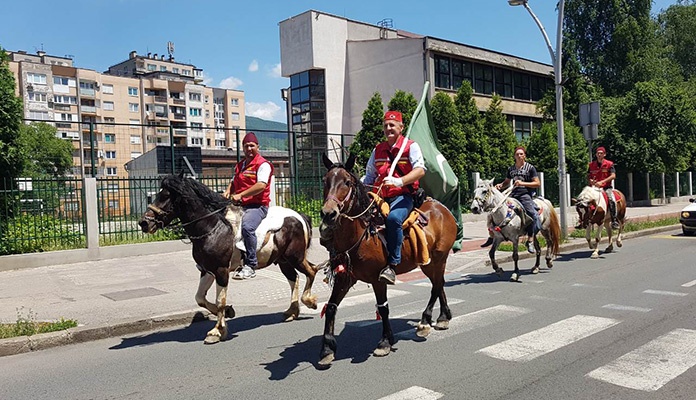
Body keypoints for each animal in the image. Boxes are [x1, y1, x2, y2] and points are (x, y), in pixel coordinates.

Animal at [139, 172, 324, 344]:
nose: (144, 223)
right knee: (294, 278)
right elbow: (200, 298)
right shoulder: (207, 270)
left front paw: (217, 331)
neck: (213, 227)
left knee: (311, 271)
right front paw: (227, 312)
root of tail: (299, 216)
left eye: (166, 196)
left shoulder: (221, 271)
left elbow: (219, 300)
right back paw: (292, 311)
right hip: (283, 261)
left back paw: (309, 302)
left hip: (295, 257)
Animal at [316, 153, 456, 368]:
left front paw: (384, 342)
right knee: (439, 284)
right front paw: (327, 349)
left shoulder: (378, 279)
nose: (328, 214)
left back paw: (425, 321)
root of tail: (443, 209)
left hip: (438, 259)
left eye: (347, 182)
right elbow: (331, 308)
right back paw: (443, 317)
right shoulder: (345, 278)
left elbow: (383, 309)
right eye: (325, 180)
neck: (361, 234)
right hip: (429, 263)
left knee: (436, 286)